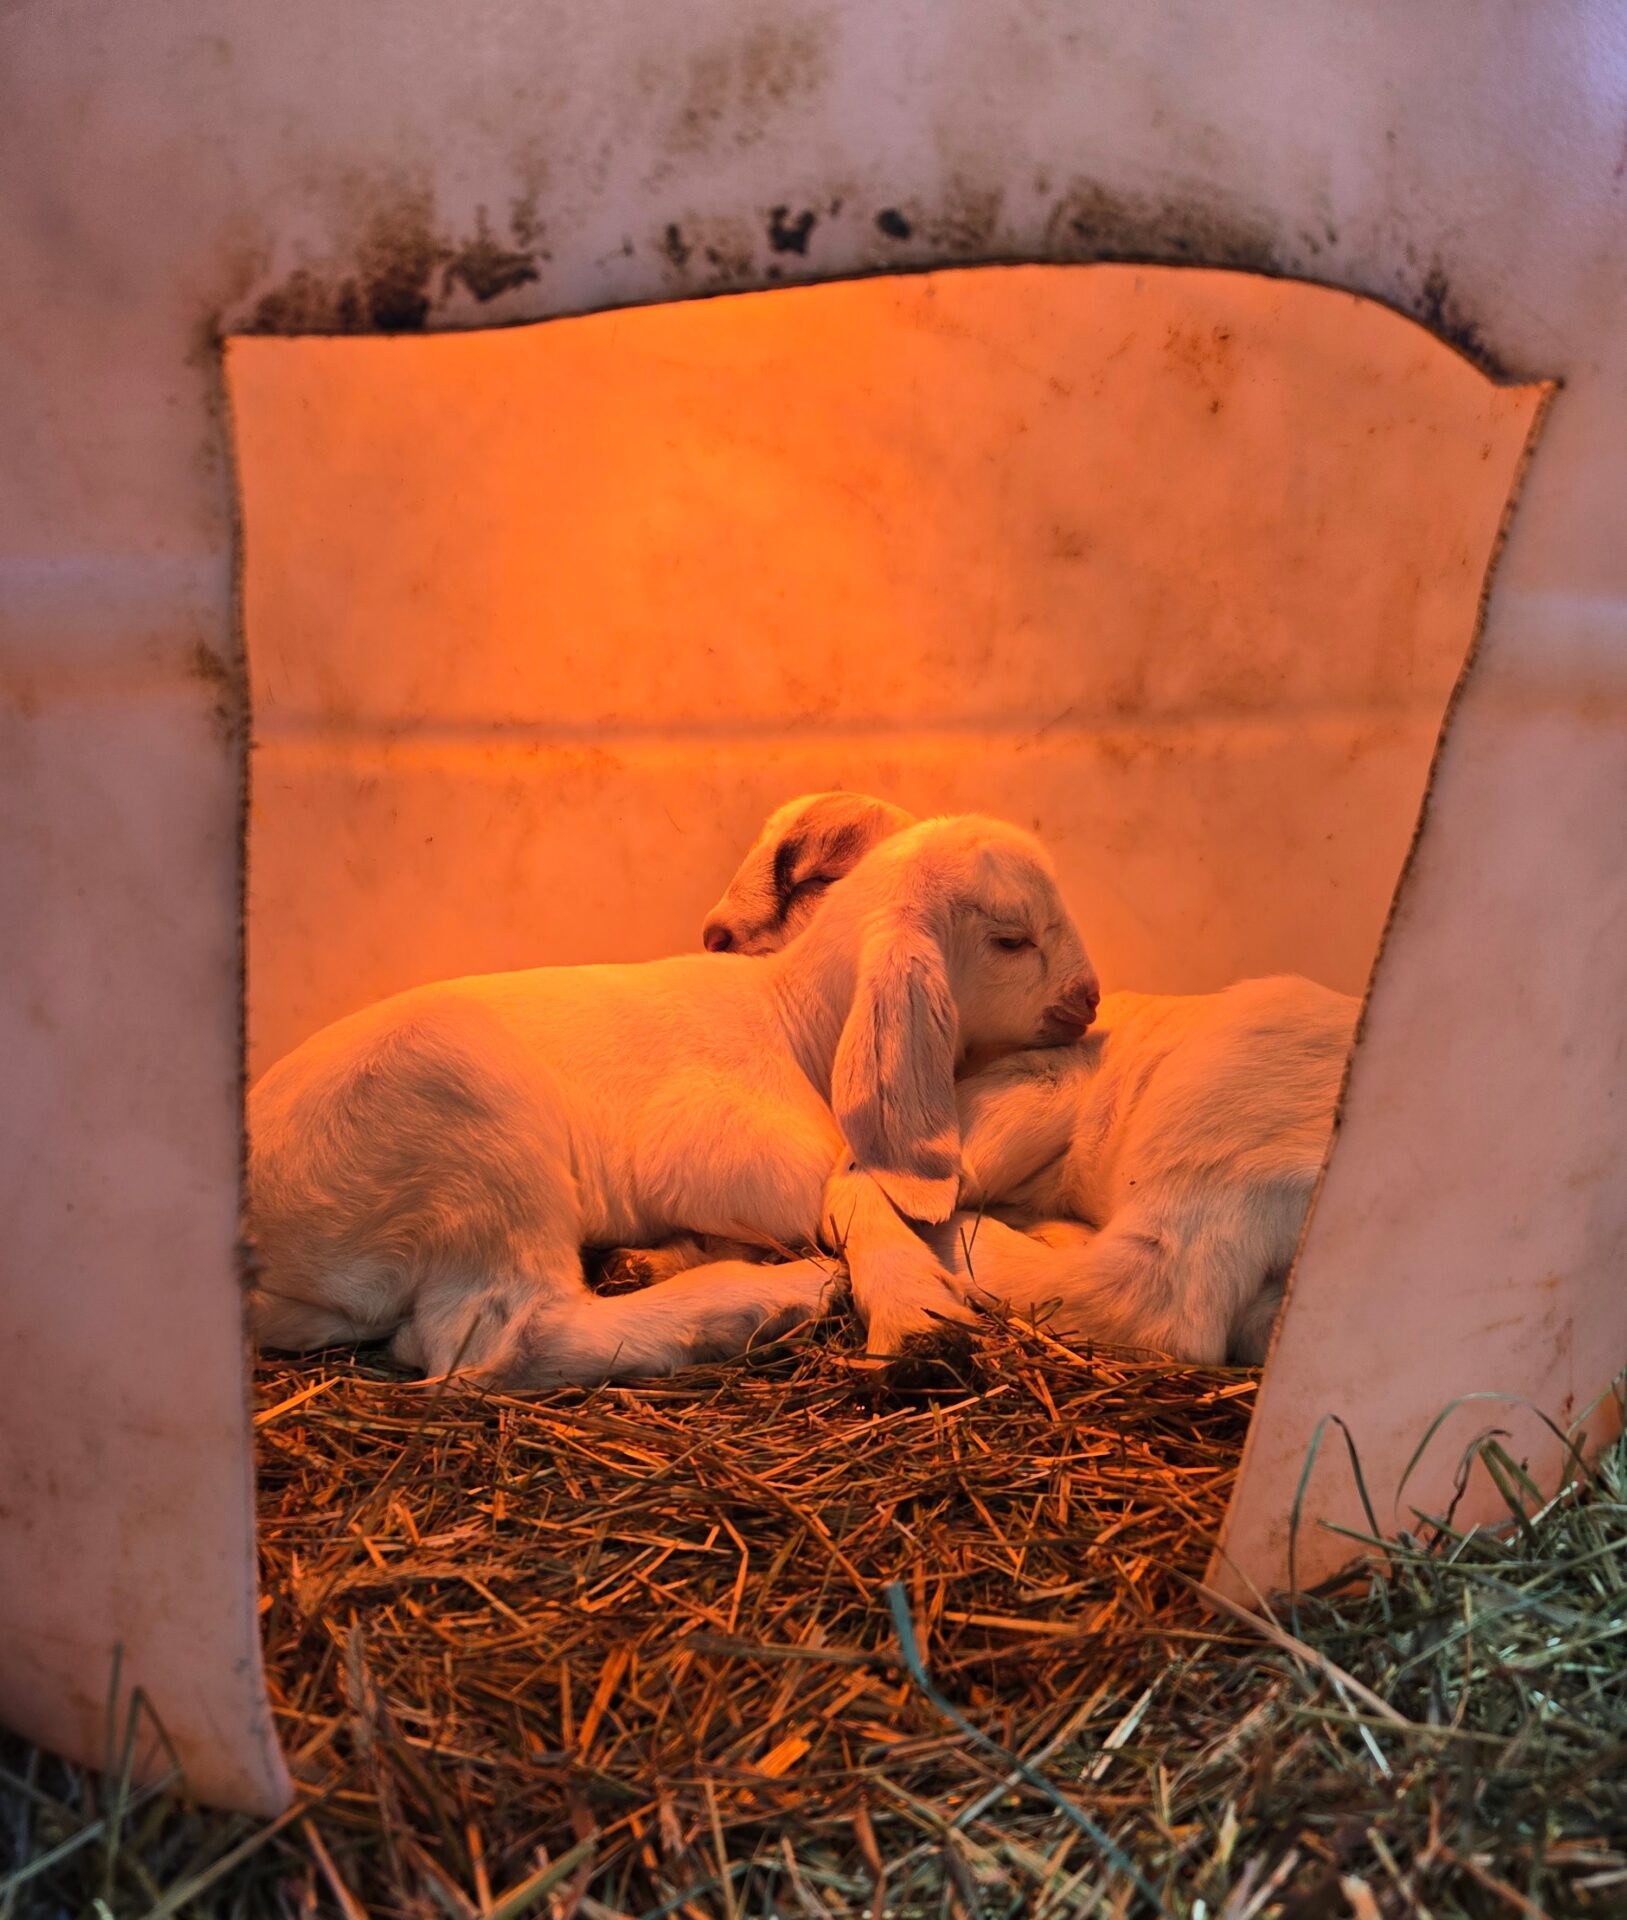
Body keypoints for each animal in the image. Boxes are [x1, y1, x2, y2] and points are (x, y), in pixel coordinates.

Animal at [247, 814, 1101, 1382]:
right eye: (1011, 939)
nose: (1088, 999)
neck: (794, 1023)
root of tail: (264, 1253)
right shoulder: (723, 1148)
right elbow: (850, 1188)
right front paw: (916, 1309)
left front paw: (661, 1254)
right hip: (471, 1129)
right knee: (515, 1336)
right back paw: (769, 1299)